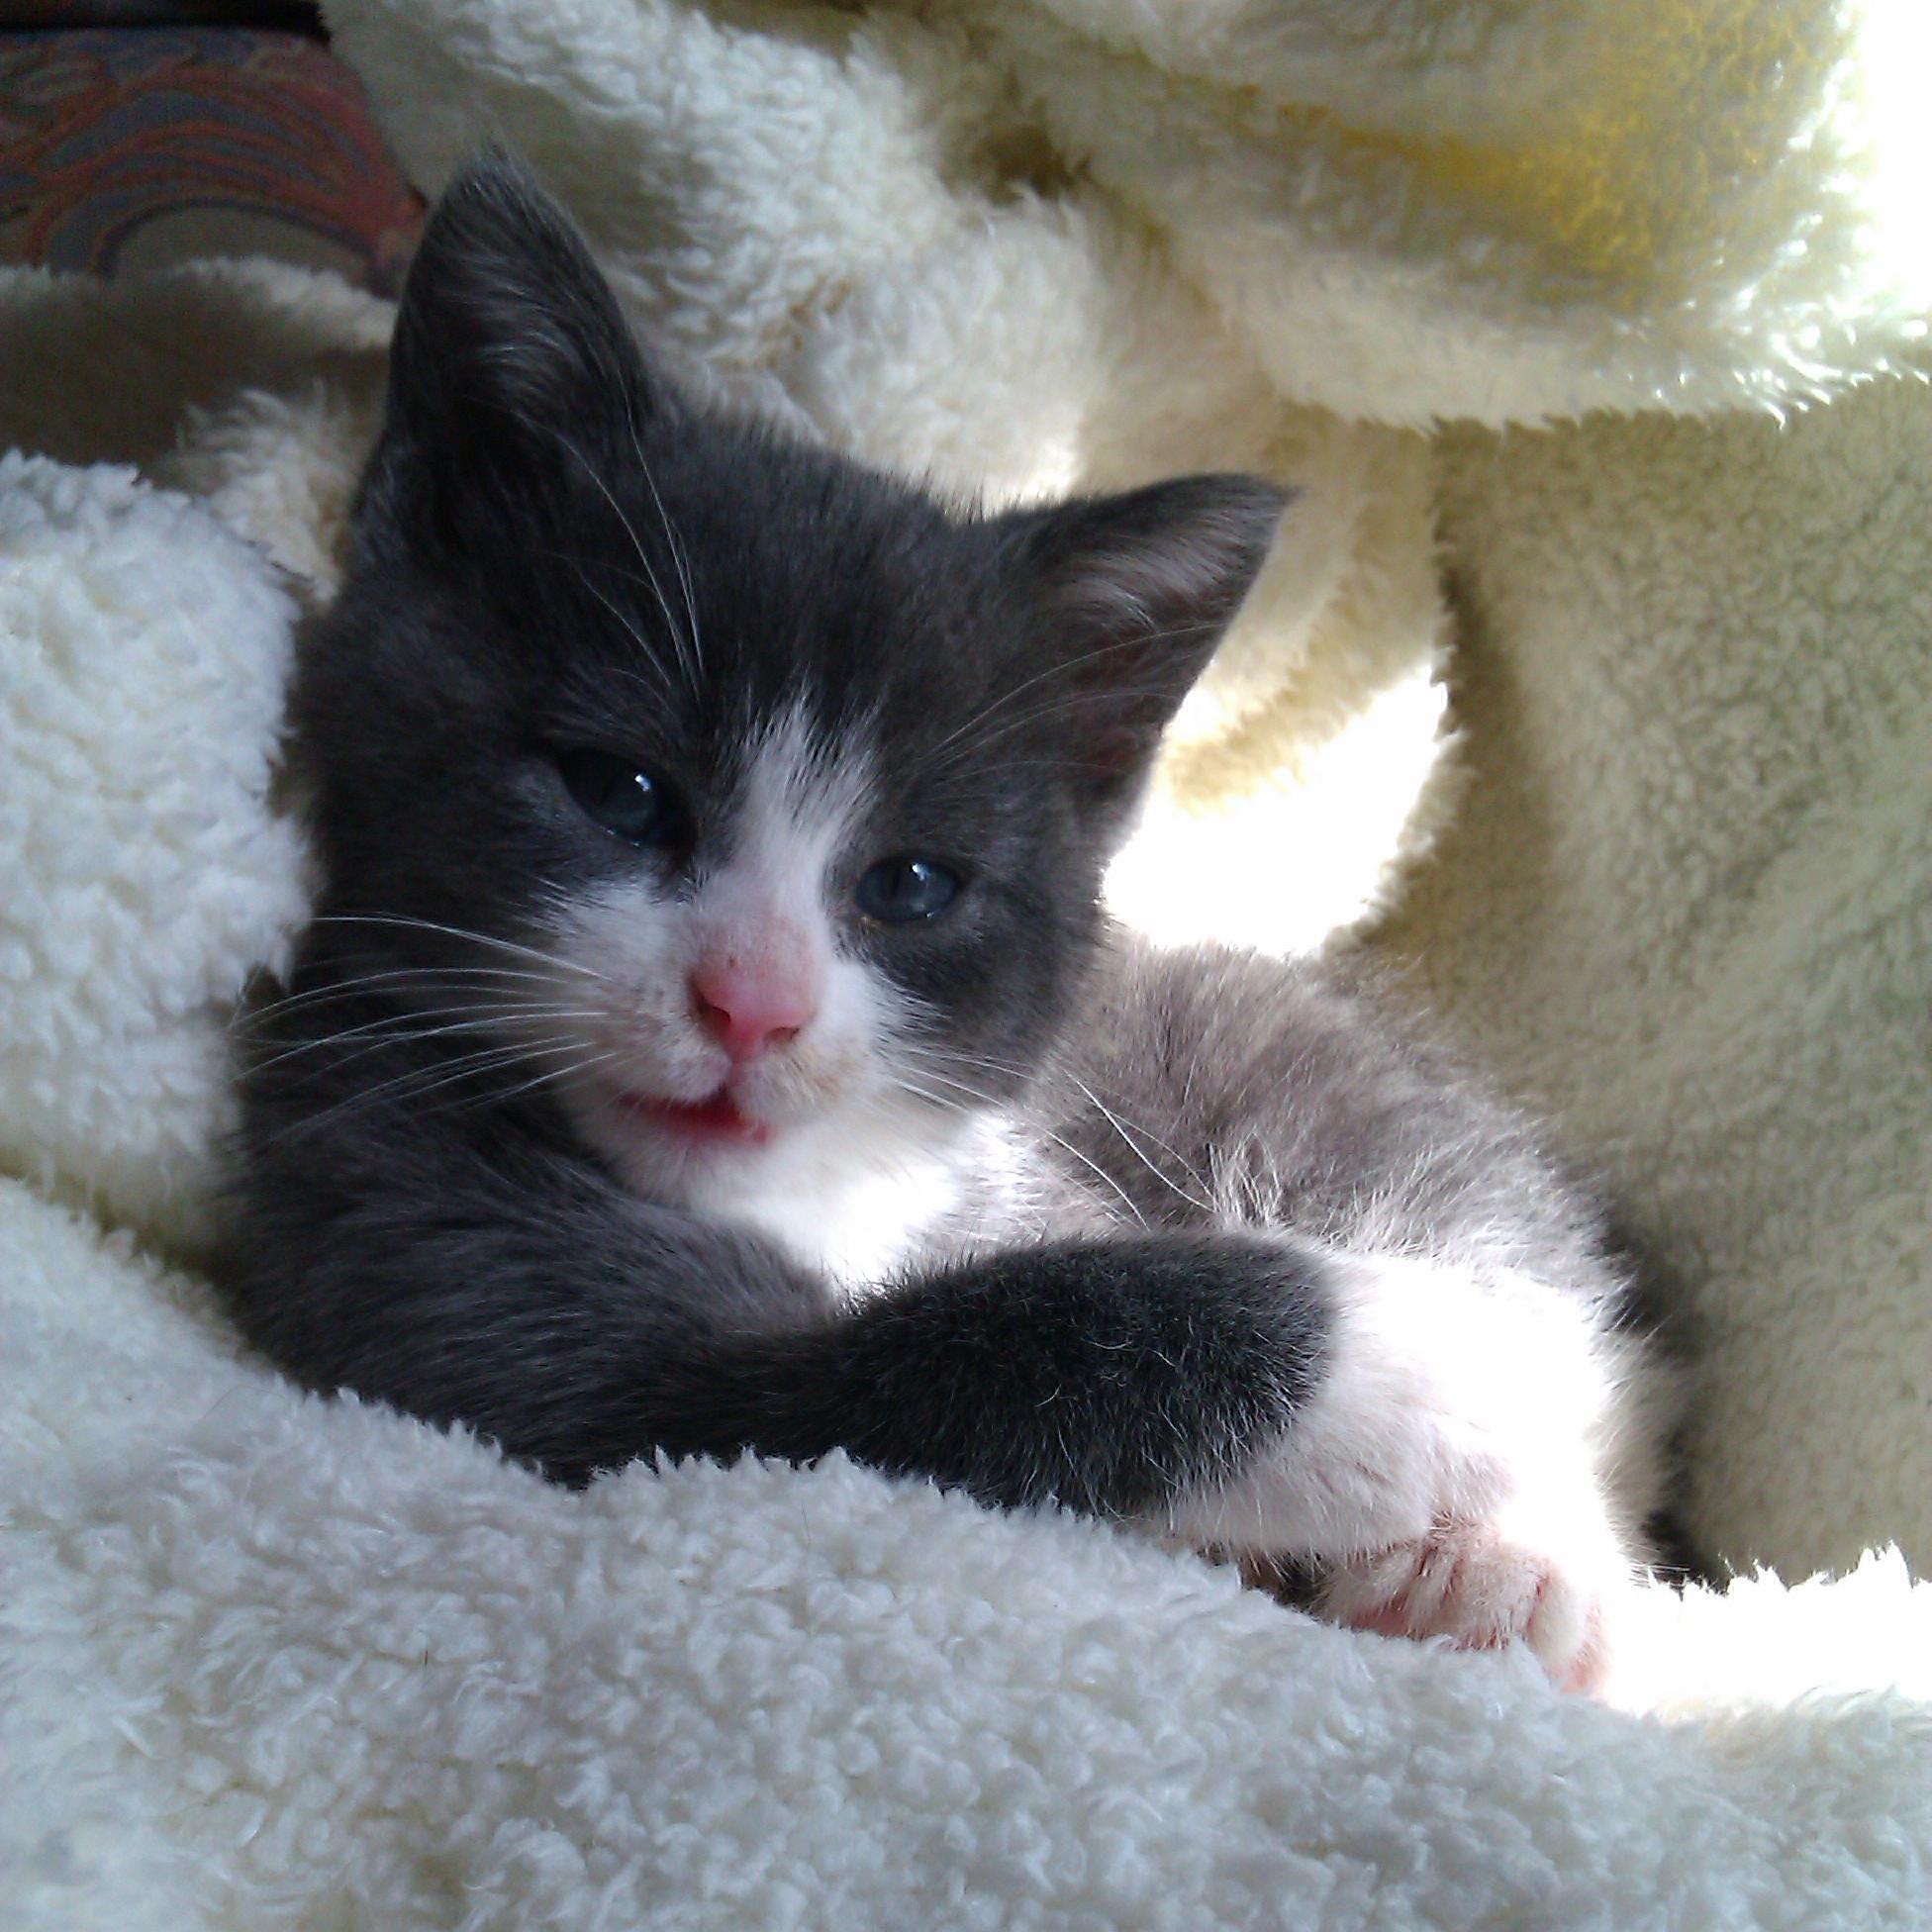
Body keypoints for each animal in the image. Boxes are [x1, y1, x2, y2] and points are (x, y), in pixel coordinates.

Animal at [226, 154, 1677, 1691]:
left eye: (911, 886)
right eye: (621, 792)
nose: (752, 1002)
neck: (809, 1202)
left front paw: (1467, 1424)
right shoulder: (429, 1275)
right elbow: (897, 1365)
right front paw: (1414, 1359)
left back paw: (1497, 1565)